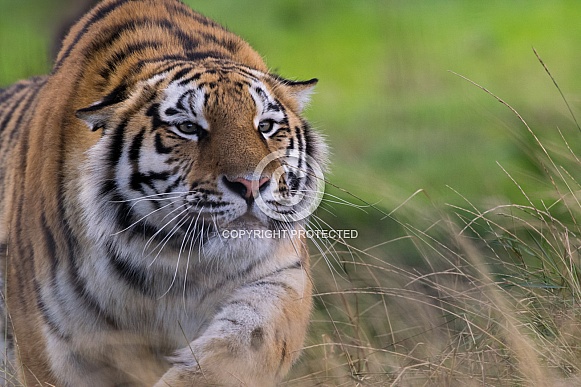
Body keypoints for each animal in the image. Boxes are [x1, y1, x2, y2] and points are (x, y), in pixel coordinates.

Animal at [0, 0, 326, 386]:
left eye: (266, 126)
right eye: (188, 127)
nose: (251, 184)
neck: (170, 264)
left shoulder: (278, 276)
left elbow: (241, 346)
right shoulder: (51, 339)